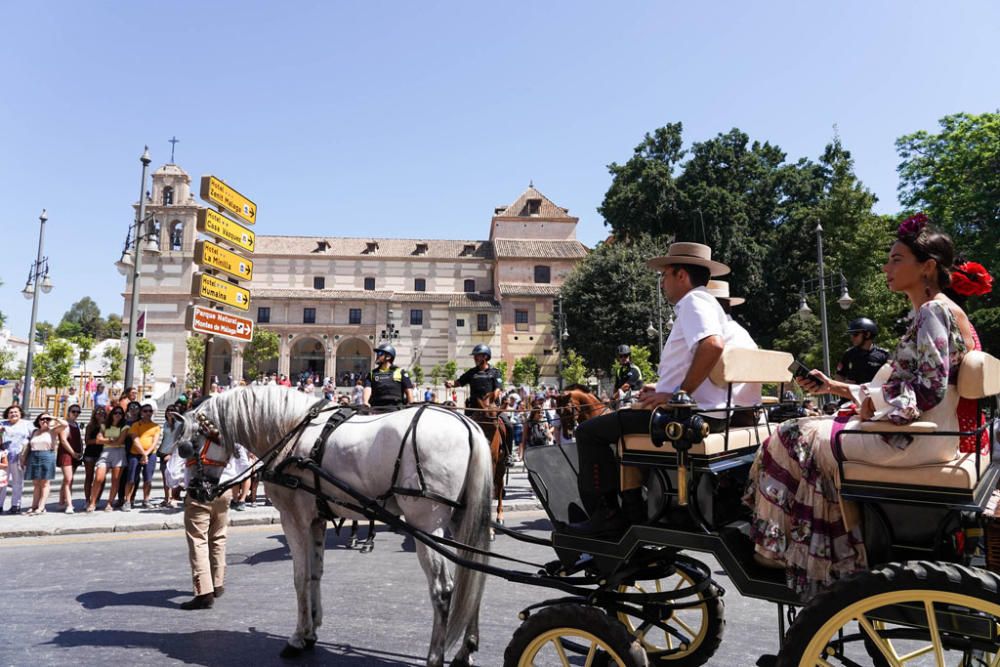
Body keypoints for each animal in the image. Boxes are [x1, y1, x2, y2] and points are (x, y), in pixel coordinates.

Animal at [182, 386, 494, 667]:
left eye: (187, 446)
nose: (196, 491)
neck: (292, 434)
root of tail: (468, 425)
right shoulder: (317, 520)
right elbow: (315, 574)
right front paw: (311, 631)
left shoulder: (294, 519)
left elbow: (299, 577)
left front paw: (297, 638)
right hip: (459, 522)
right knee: (474, 574)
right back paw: (466, 649)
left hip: (427, 525)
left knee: (443, 589)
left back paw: (435, 657)